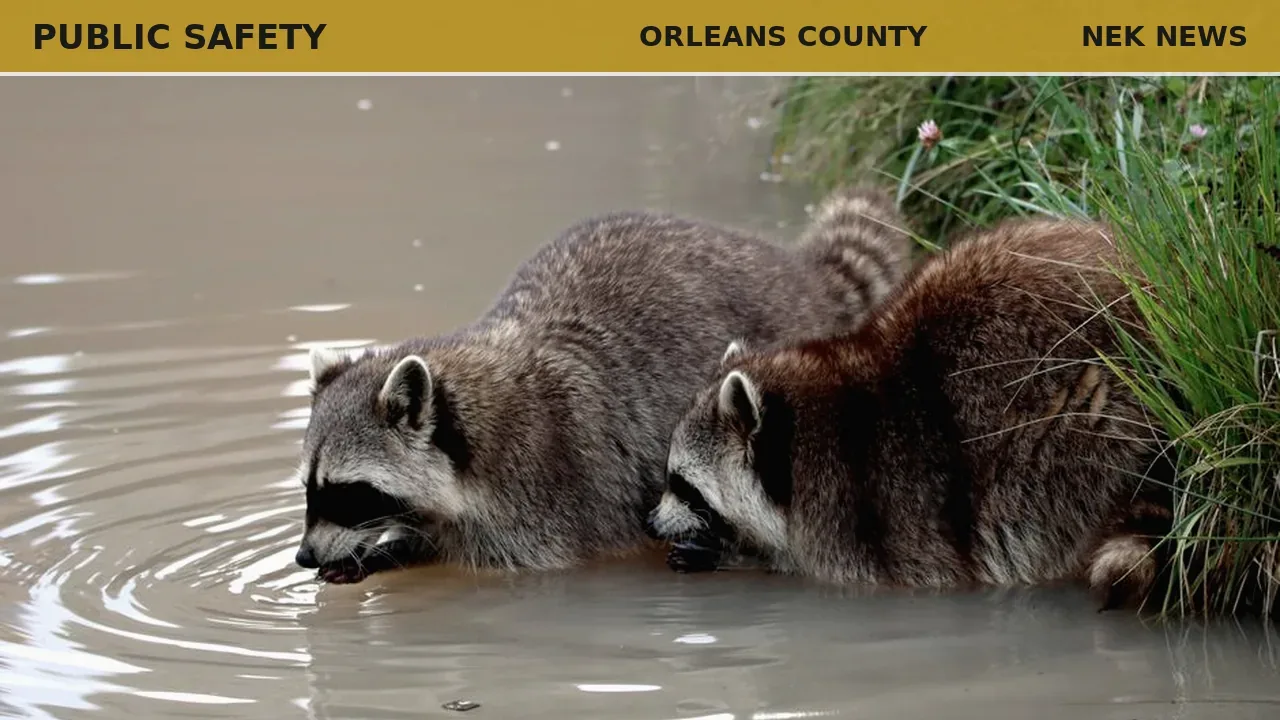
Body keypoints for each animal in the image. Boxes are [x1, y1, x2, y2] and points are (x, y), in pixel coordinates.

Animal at [294, 187, 916, 583]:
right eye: (308, 488)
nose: (302, 557)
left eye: (346, 491)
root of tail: (795, 275)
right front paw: (384, 551)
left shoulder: (546, 496)